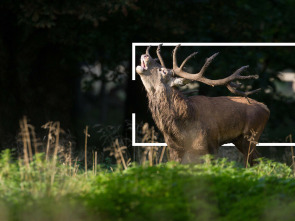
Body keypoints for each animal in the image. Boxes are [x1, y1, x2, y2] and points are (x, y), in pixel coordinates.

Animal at [136, 44, 270, 166]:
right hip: (240, 139)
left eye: (163, 71)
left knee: (251, 163)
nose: (146, 55)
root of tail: (266, 108)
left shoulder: (210, 145)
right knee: (258, 159)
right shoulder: (174, 148)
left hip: (251, 135)